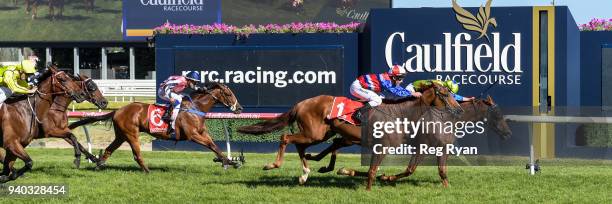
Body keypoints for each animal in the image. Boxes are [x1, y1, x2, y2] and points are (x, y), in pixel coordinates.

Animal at [68, 82, 244, 172]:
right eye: (229, 94)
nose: (240, 108)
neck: (195, 107)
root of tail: (118, 110)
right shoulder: (193, 135)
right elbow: (211, 146)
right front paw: (229, 162)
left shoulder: (202, 133)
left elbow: (215, 146)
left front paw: (231, 161)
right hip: (131, 134)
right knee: (136, 154)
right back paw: (147, 170)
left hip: (121, 135)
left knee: (109, 149)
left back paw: (98, 164)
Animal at [237, 82, 462, 184]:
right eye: (445, 94)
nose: (459, 109)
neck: (401, 112)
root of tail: (301, 103)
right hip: (314, 133)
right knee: (286, 138)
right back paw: (273, 164)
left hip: (320, 133)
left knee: (300, 145)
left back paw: (305, 173)